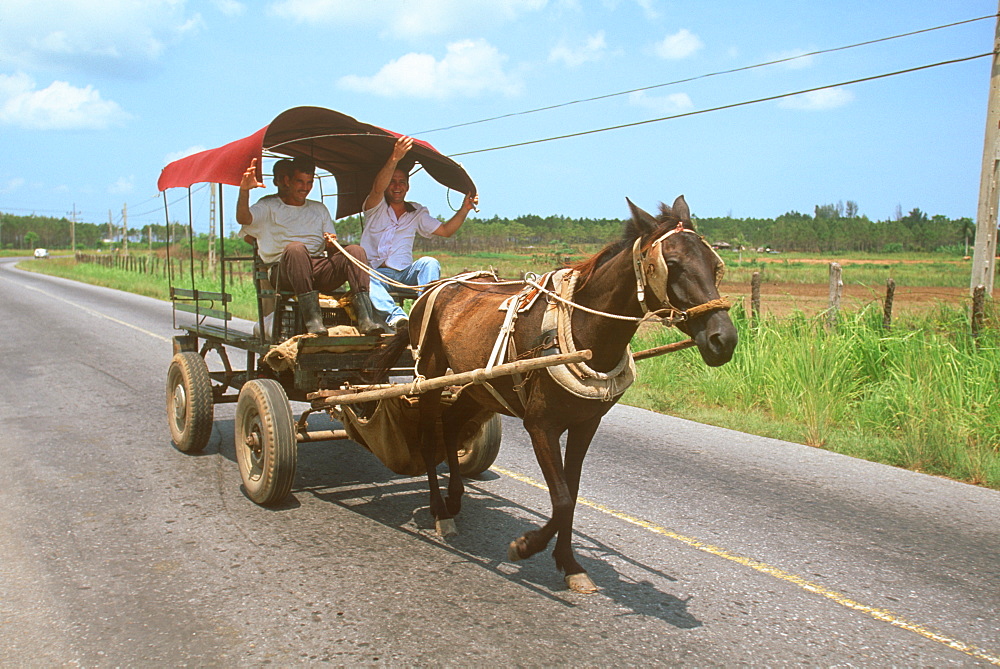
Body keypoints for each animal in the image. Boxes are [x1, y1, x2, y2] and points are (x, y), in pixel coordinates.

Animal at [366, 196, 736, 592]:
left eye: (715, 265)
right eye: (674, 265)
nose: (724, 340)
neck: (581, 328)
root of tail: (435, 288)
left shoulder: (586, 424)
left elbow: (571, 492)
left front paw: (569, 563)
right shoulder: (540, 426)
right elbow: (560, 498)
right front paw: (527, 546)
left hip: (477, 385)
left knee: (450, 425)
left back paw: (454, 499)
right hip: (432, 373)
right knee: (426, 432)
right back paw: (439, 510)